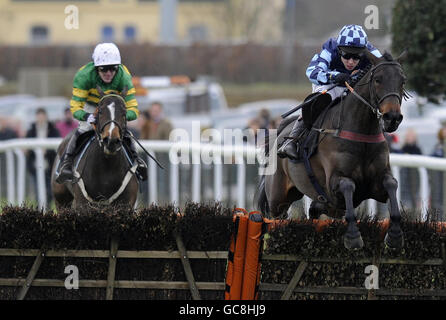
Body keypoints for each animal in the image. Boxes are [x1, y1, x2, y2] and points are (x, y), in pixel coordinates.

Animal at [258, 50, 408, 250]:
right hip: (277, 198)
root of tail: (281, 132)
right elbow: (348, 185)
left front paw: (395, 236)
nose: (392, 118)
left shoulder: (375, 184)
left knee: (315, 209)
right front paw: (353, 237)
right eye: (378, 79)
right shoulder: (334, 182)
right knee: (274, 217)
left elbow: (392, 184)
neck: (361, 132)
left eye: (402, 81)